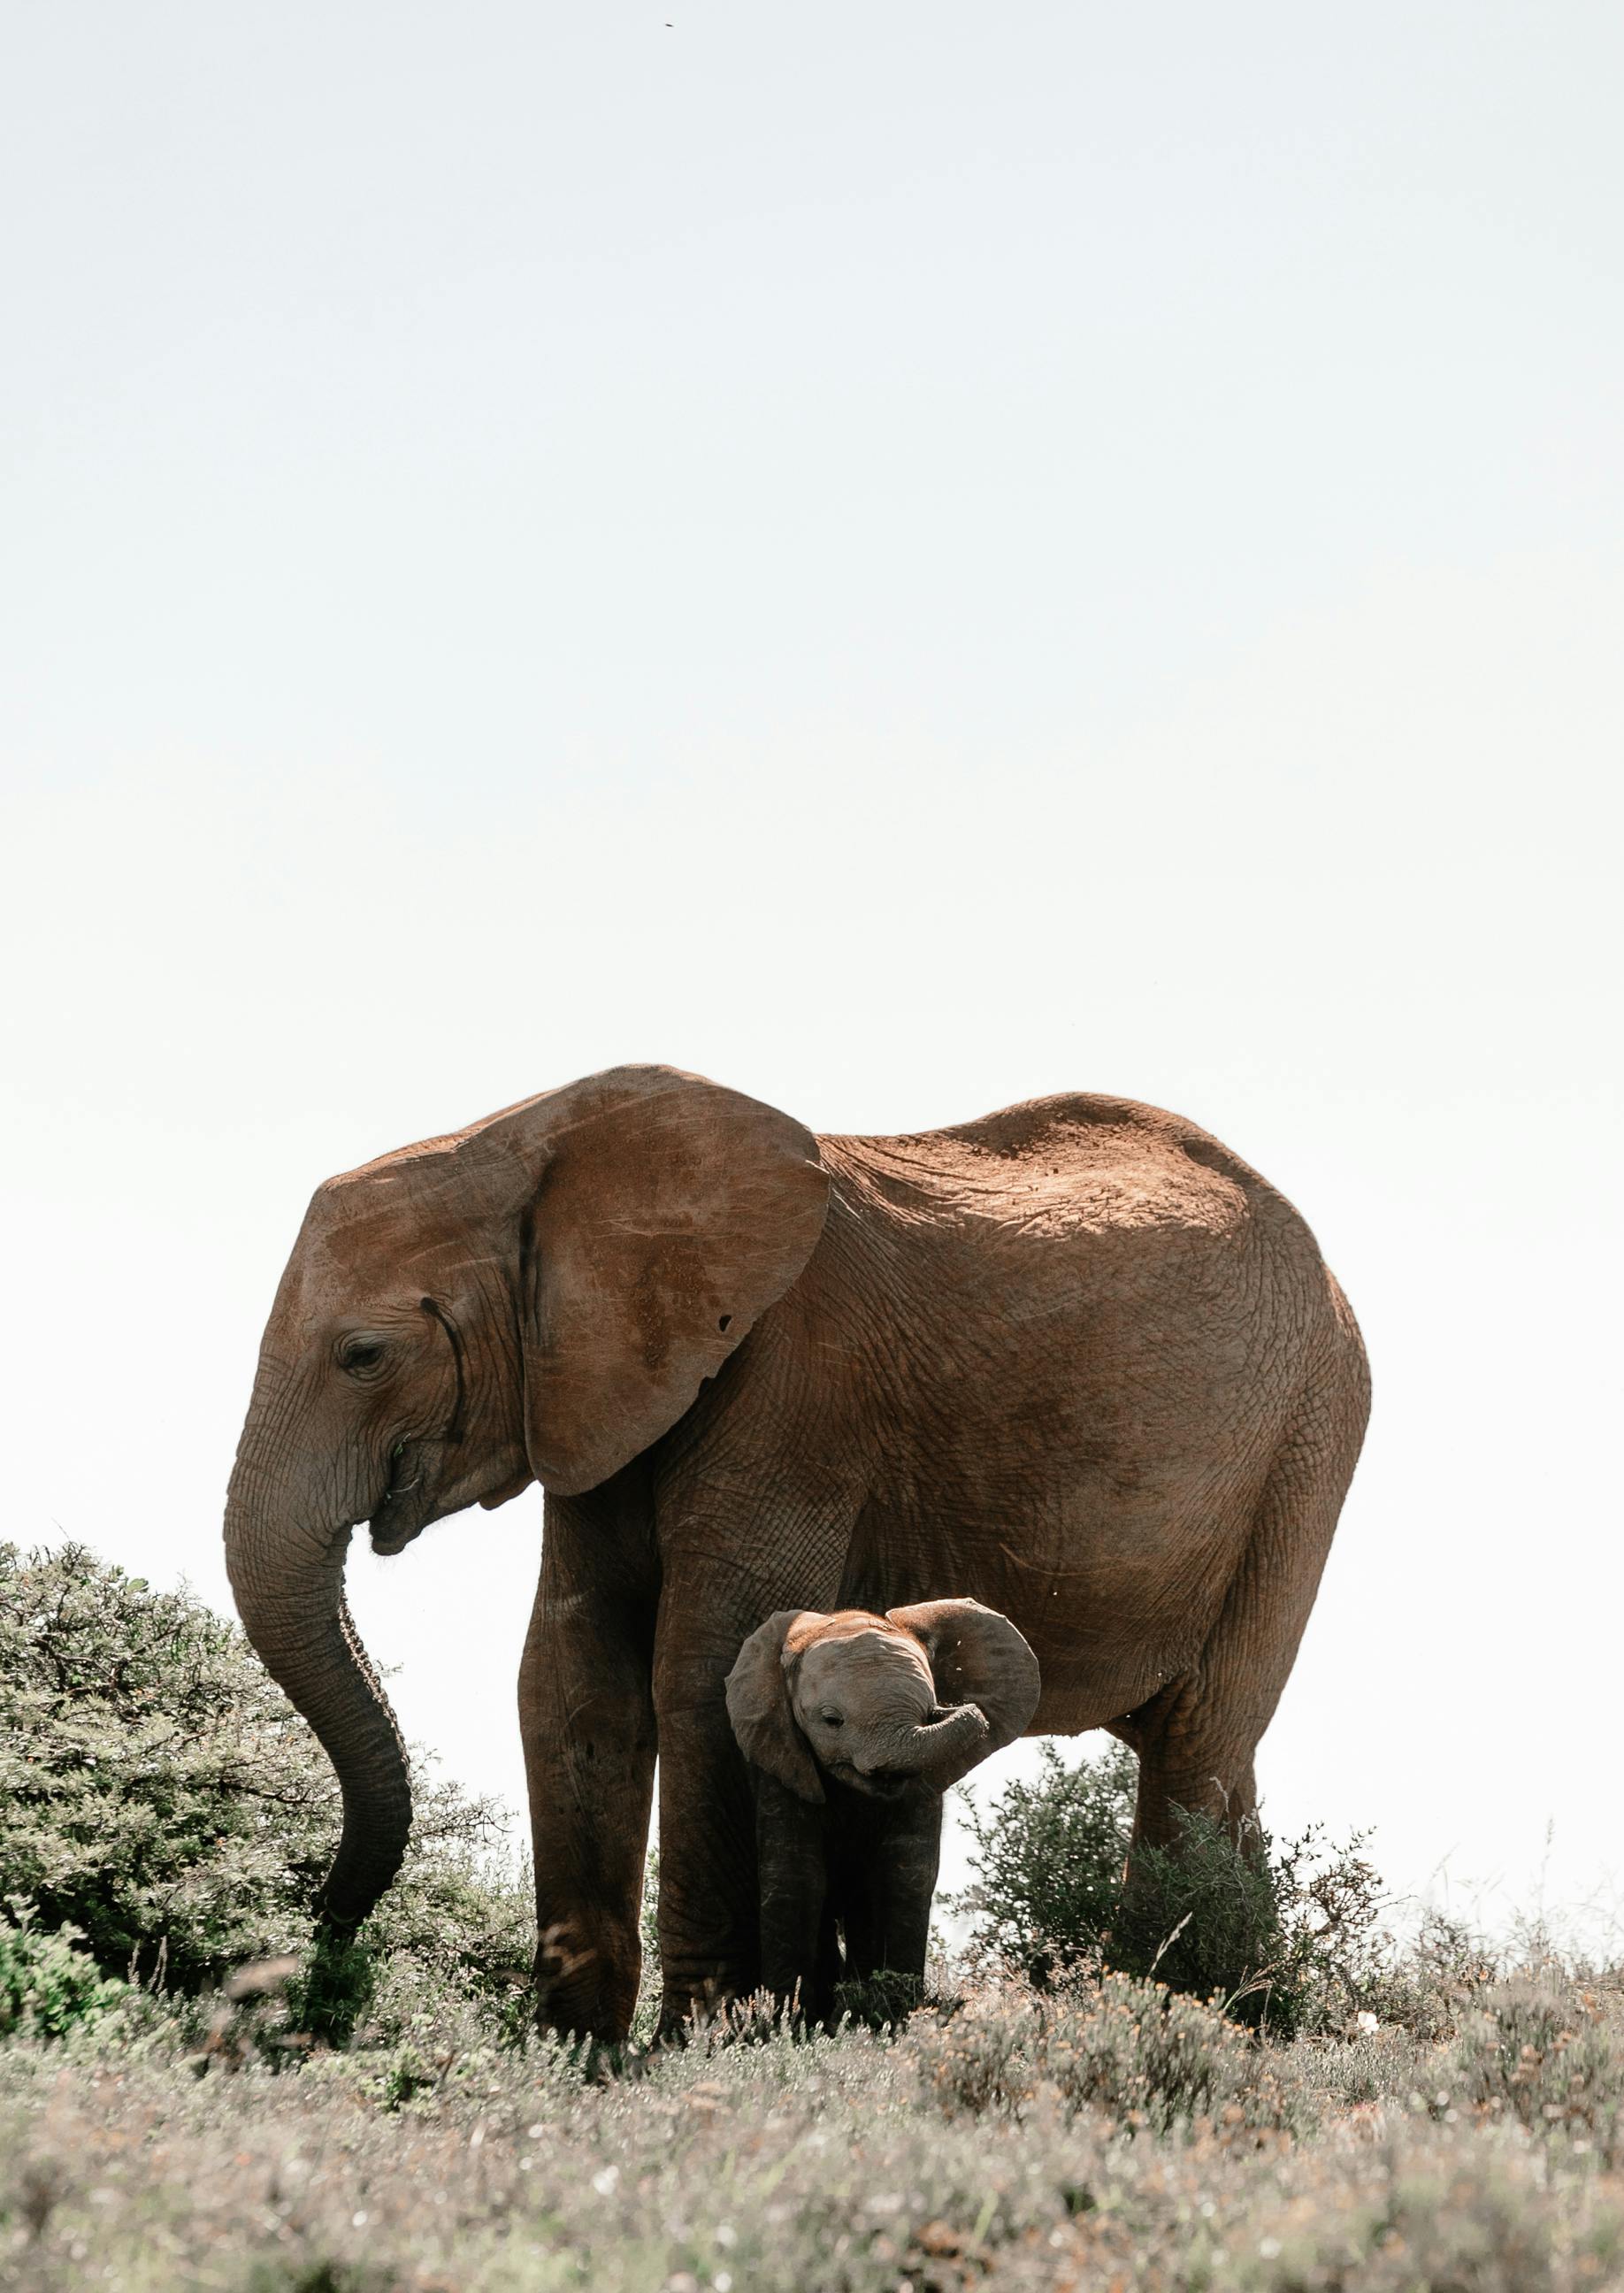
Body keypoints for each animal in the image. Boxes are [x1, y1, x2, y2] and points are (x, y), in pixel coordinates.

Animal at [724, 1605, 1041, 2017]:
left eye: (928, 1713)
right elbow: (794, 1877)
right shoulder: (783, 1766)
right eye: (831, 1721)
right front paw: (782, 2018)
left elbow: (906, 1876)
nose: (953, 1707)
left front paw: (894, 2013)